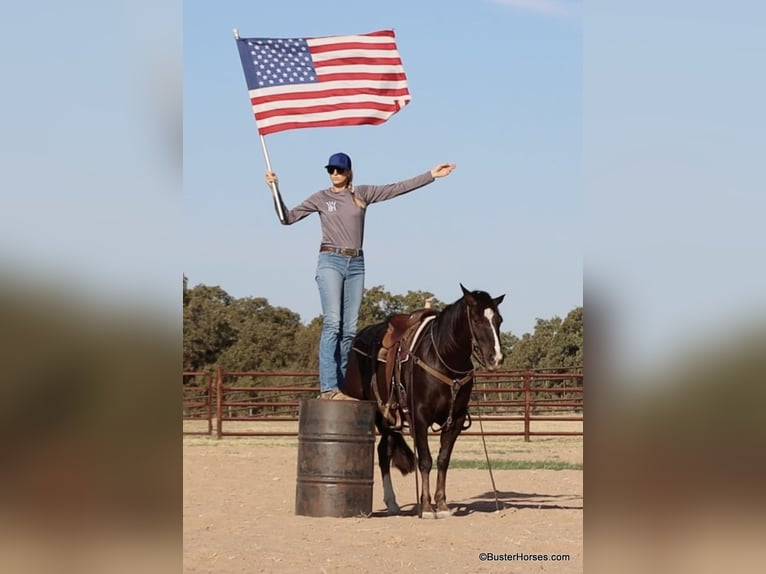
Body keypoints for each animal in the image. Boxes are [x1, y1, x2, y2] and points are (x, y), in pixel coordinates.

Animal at [344, 286, 508, 520]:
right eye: (476, 320)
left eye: (499, 320)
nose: (496, 358)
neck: (443, 359)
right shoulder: (419, 418)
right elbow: (425, 461)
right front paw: (427, 507)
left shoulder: (455, 420)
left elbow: (443, 460)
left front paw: (442, 504)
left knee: (384, 451)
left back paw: (392, 503)